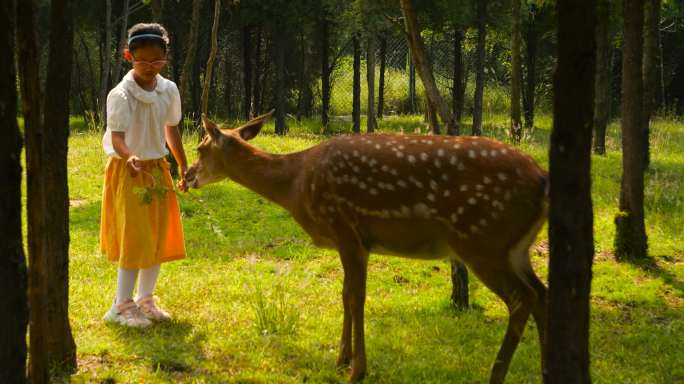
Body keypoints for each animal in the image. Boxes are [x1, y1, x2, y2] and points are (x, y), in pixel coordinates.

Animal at [186, 110, 552, 380]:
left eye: (201, 148)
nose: (187, 175)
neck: (295, 184)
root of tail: (542, 179)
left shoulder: (345, 227)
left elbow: (356, 297)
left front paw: (357, 370)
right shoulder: (352, 241)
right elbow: (345, 294)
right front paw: (342, 359)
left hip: (482, 239)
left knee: (522, 298)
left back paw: (496, 375)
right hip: (512, 248)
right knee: (541, 293)